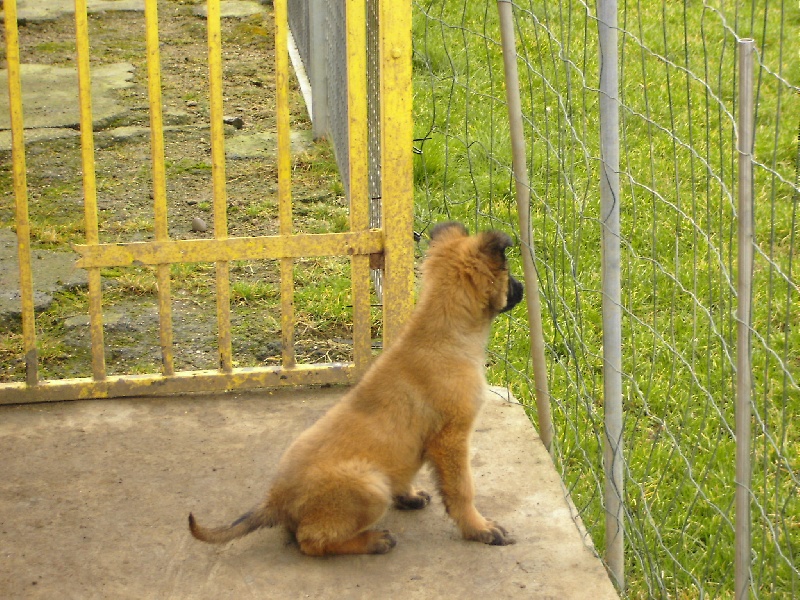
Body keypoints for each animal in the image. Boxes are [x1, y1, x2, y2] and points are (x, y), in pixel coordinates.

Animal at [188, 223, 524, 556]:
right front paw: (479, 529)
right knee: (311, 542)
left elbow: (408, 469)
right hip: (371, 486)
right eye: (509, 274)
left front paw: (408, 494)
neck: (444, 336)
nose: (521, 288)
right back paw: (372, 541)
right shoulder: (451, 440)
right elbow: (462, 490)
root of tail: (275, 500)